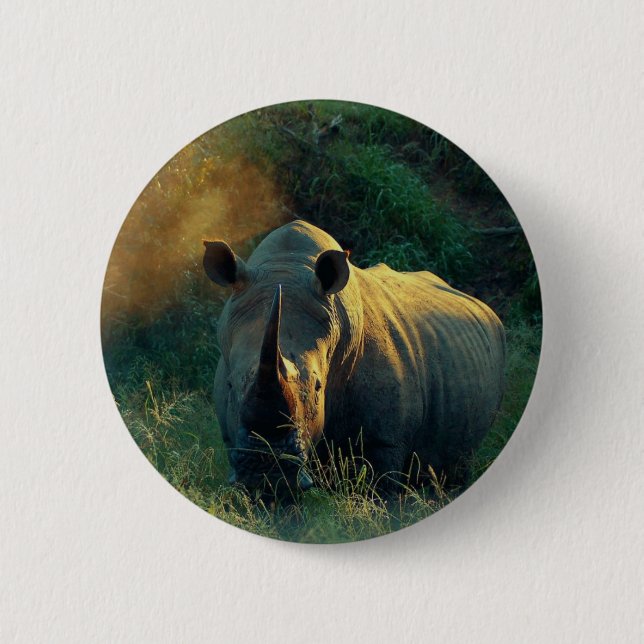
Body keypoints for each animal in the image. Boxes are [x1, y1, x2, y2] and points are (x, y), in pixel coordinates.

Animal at [203, 220, 505, 497]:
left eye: (318, 387)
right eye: (229, 385)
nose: (265, 469)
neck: (288, 264)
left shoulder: (384, 440)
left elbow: (382, 492)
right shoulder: (233, 435)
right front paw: (269, 490)